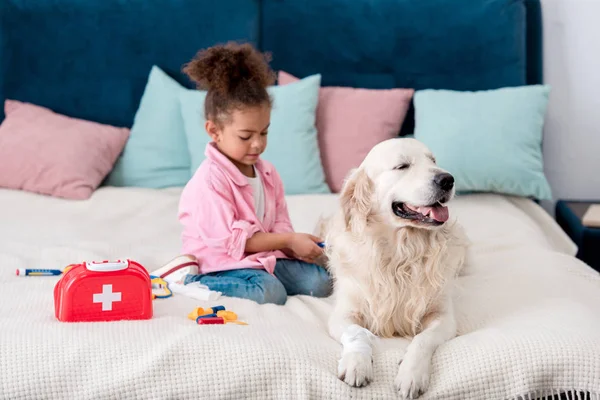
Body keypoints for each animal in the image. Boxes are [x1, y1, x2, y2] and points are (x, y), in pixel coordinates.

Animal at [324, 137, 468, 396]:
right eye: (402, 166)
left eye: (433, 161)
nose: (447, 179)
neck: (402, 253)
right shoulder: (344, 312)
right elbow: (356, 333)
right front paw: (356, 364)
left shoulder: (443, 316)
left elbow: (422, 340)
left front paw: (411, 374)